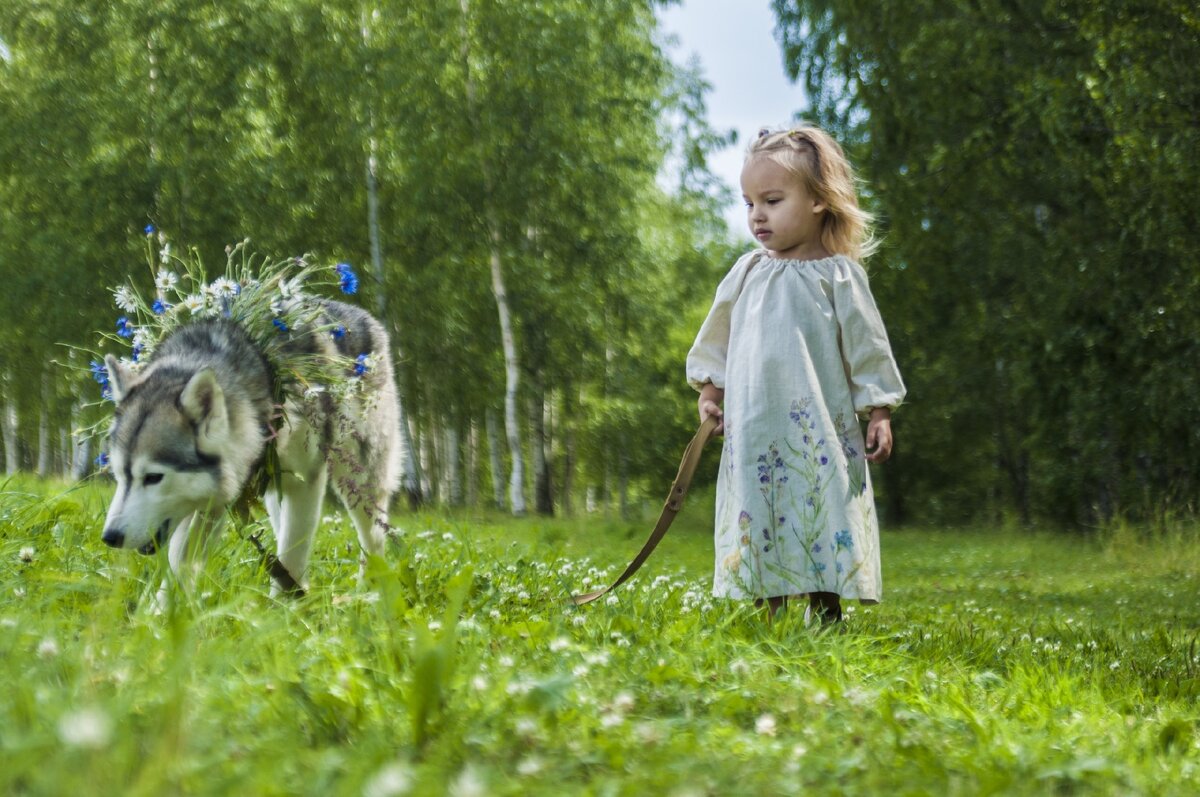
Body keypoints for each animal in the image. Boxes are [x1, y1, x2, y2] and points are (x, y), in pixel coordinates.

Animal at [99, 300, 398, 597]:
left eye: (153, 477)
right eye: (119, 476)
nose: (110, 537)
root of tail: (359, 313)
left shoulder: (306, 482)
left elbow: (293, 553)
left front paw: (283, 607)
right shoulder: (211, 497)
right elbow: (180, 562)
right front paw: (163, 609)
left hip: (359, 483)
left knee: (372, 539)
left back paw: (371, 593)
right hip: (276, 490)